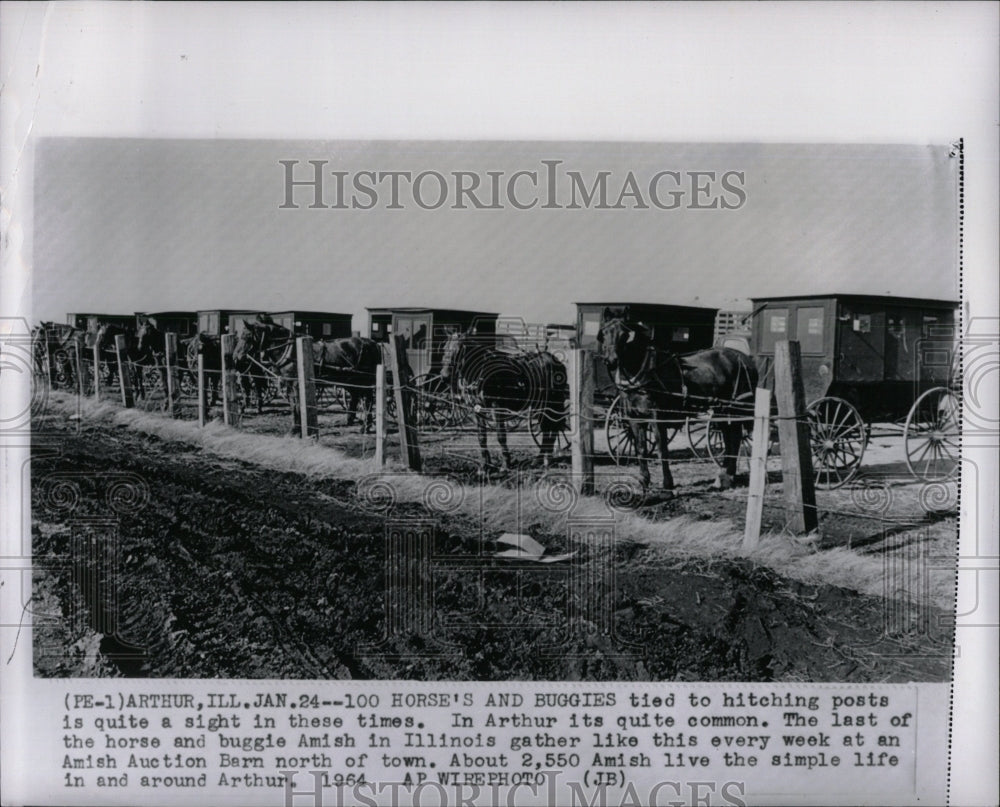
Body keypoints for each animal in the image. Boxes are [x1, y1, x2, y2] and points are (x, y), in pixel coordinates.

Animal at [232, 320, 384, 436]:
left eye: (247, 336)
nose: (235, 357)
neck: (291, 351)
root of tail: (373, 343)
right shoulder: (290, 384)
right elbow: (294, 405)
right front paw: (297, 428)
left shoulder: (295, 384)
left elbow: (297, 405)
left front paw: (296, 429)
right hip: (352, 381)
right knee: (357, 397)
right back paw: (354, 421)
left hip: (364, 381)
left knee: (368, 400)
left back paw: (365, 427)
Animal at [440, 330, 568, 474]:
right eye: (444, 348)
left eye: (460, 349)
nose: (444, 376)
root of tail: (555, 360)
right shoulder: (477, 409)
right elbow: (481, 437)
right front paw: (484, 466)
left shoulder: (498, 407)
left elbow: (501, 435)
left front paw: (506, 464)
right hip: (541, 404)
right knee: (547, 427)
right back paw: (542, 459)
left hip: (553, 402)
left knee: (553, 426)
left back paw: (545, 459)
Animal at [592, 304, 756, 490]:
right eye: (604, 333)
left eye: (624, 335)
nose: (611, 360)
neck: (646, 370)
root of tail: (746, 359)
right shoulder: (634, 418)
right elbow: (641, 448)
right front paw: (644, 480)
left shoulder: (657, 417)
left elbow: (662, 449)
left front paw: (667, 482)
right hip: (722, 411)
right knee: (731, 438)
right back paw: (725, 477)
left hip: (735, 408)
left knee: (735, 437)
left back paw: (726, 476)